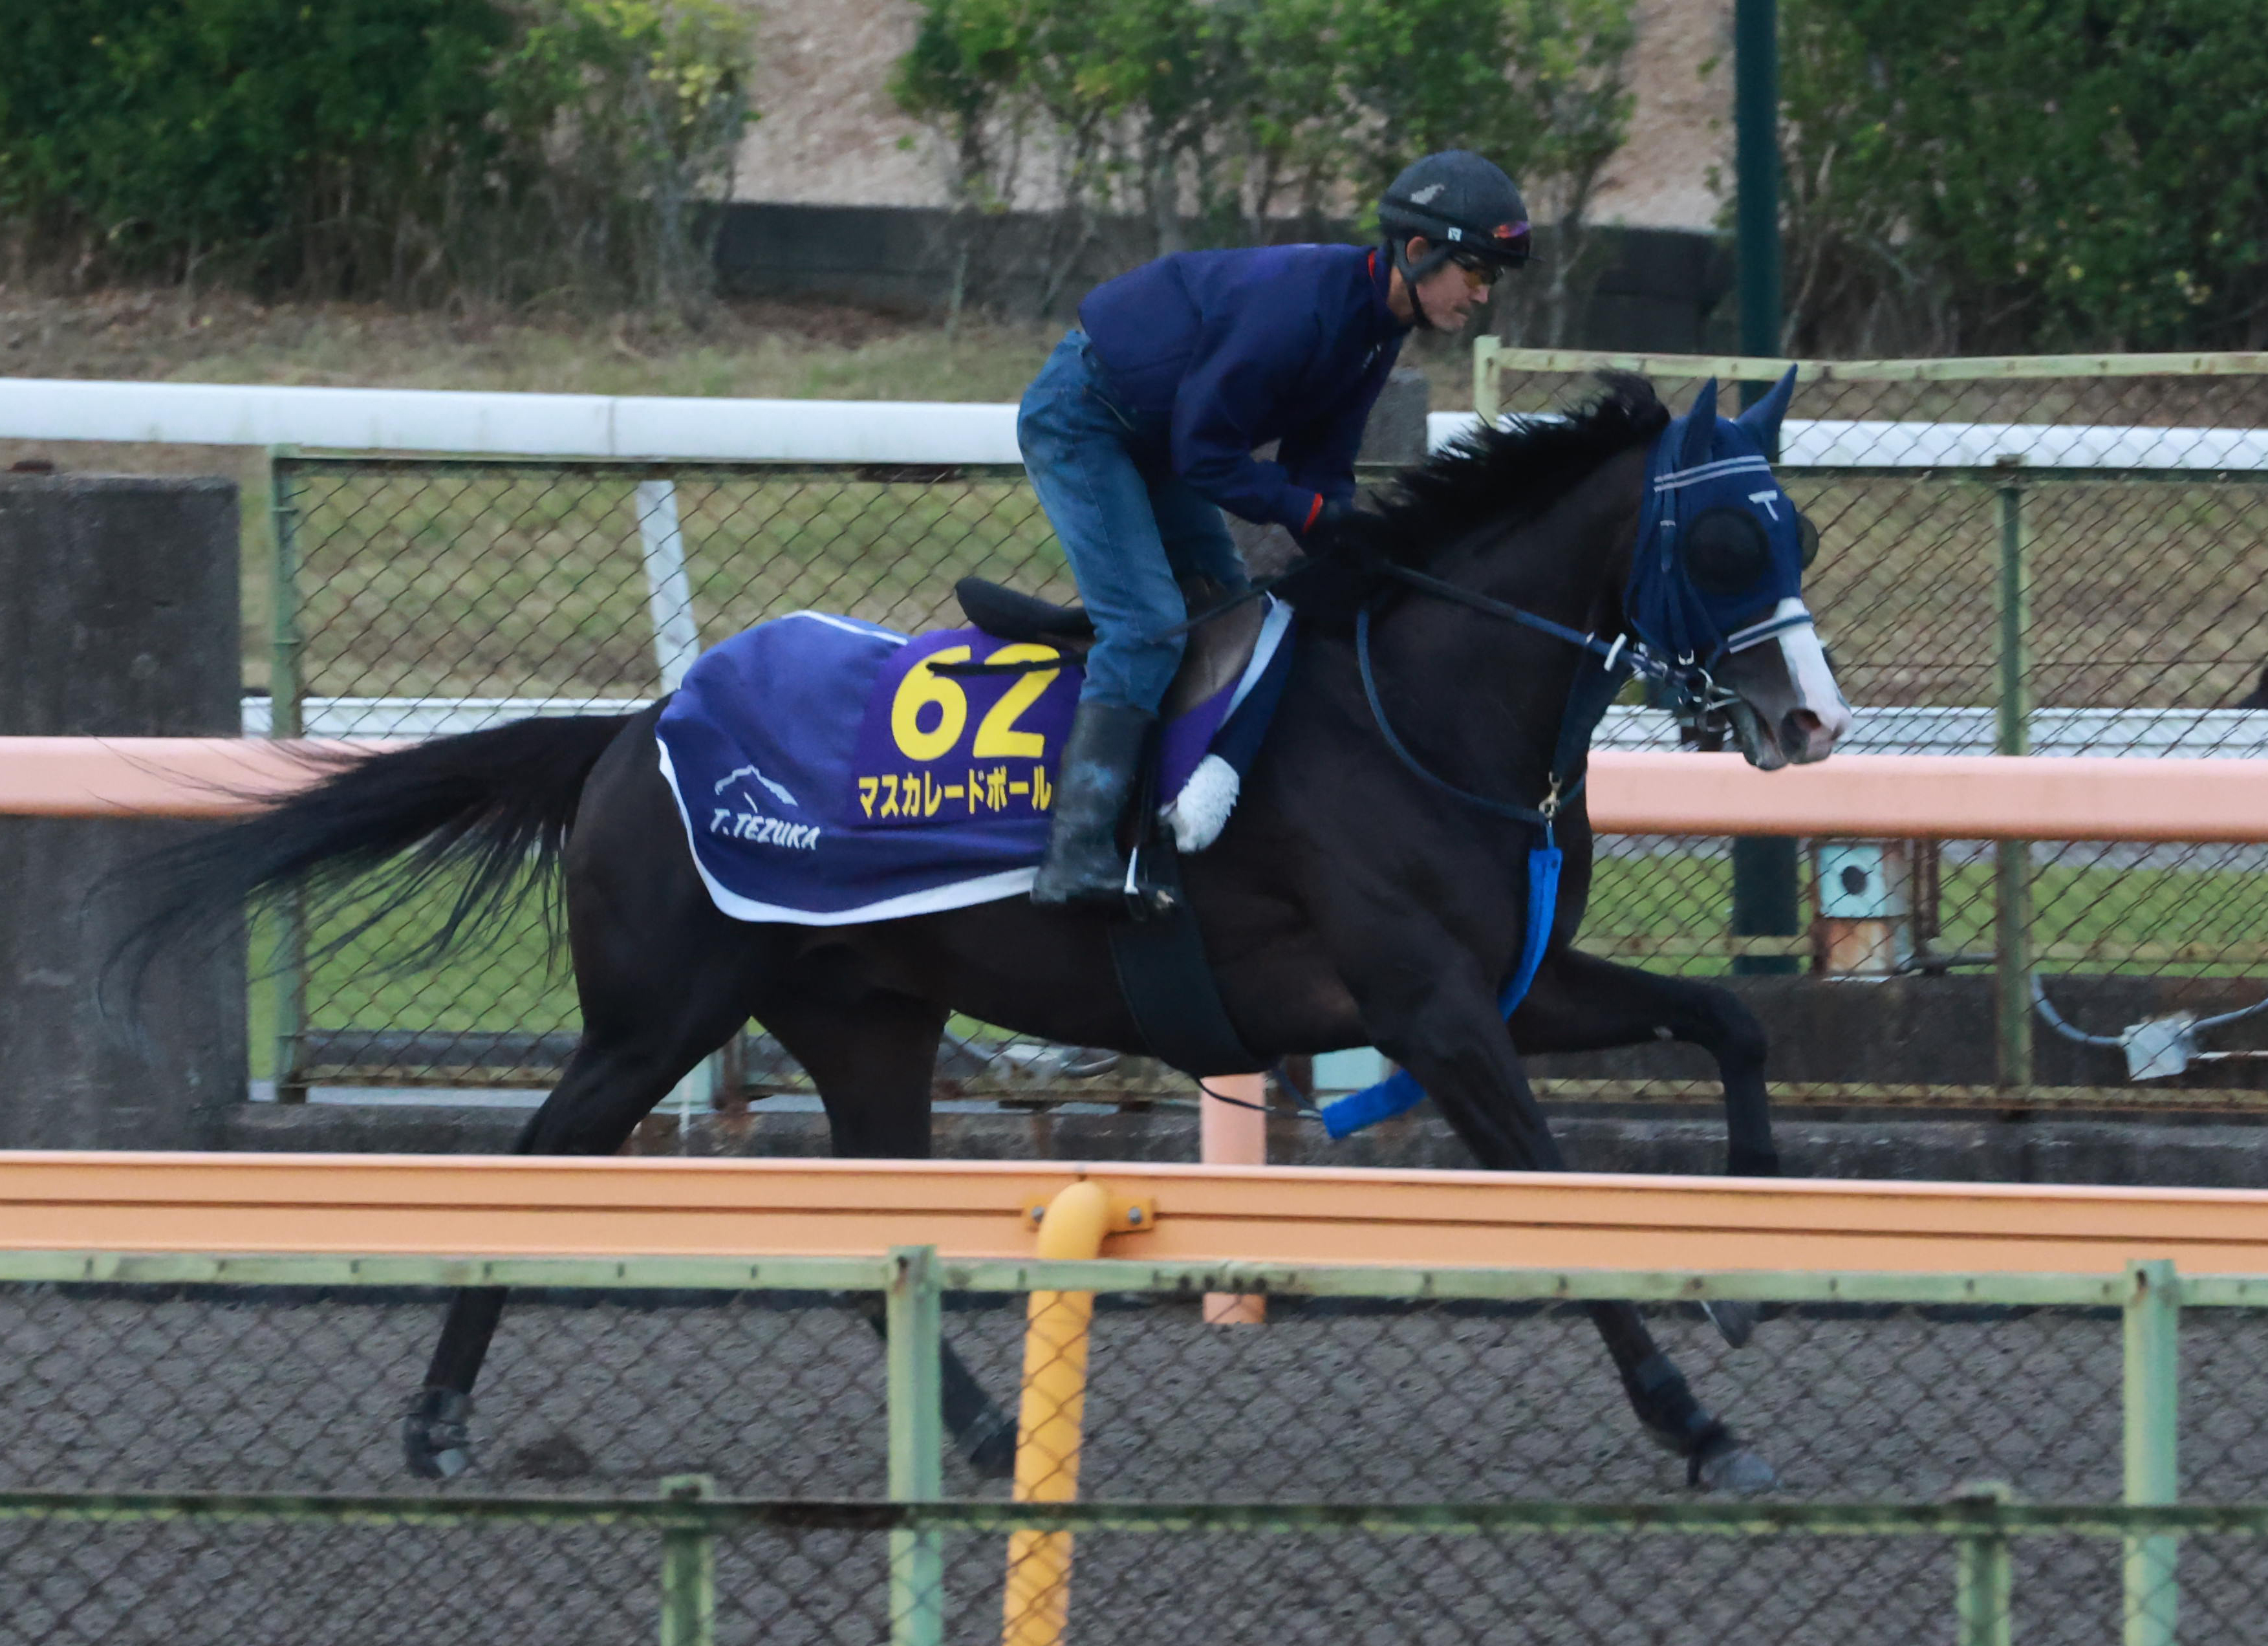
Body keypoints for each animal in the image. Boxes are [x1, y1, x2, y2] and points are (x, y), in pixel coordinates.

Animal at [119, 371, 1850, 1493]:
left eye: (1803, 538)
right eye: (1722, 545)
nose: (1810, 721)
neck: (1409, 701)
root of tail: (633, 732)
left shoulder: (1511, 983)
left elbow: (1732, 1020)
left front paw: (1752, 1270)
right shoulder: (1430, 1007)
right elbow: (1559, 1202)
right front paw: (1695, 1421)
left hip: (864, 1016)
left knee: (868, 1227)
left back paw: (980, 1429)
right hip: (656, 1012)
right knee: (542, 1165)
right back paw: (436, 1422)